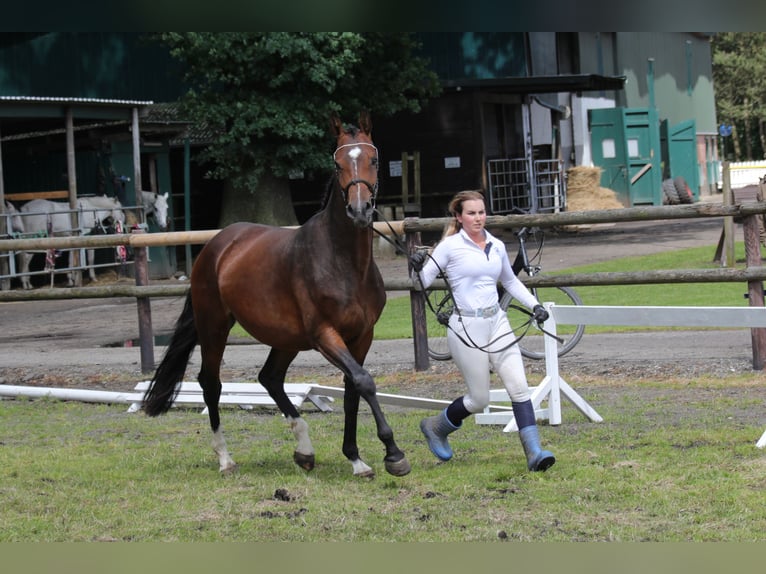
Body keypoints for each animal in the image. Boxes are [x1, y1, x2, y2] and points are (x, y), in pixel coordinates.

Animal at [141, 113, 412, 482]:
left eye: (374, 159)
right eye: (337, 163)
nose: (359, 210)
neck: (344, 263)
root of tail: (216, 246)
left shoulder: (362, 336)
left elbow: (352, 392)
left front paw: (356, 459)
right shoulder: (325, 334)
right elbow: (364, 381)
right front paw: (393, 453)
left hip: (286, 339)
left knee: (269, 378)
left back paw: (305, 451)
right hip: (215, 327)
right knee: (211, 383)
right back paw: (225, 459)